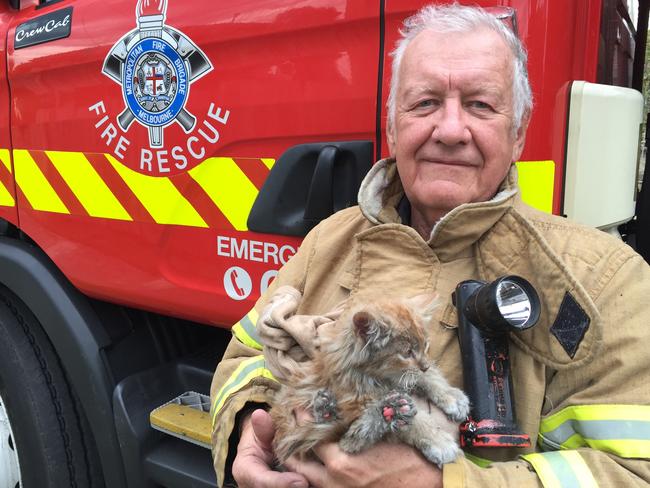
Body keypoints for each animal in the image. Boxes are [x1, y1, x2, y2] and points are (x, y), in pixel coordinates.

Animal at [266, 296, 468, 468]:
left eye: (425, 345)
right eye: (407, 353)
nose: (424, 365)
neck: (378, 377)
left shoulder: (406, 376)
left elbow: (428, 375)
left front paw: (452, 397)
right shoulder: (356, 402)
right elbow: (417, 418)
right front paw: (438, 440)